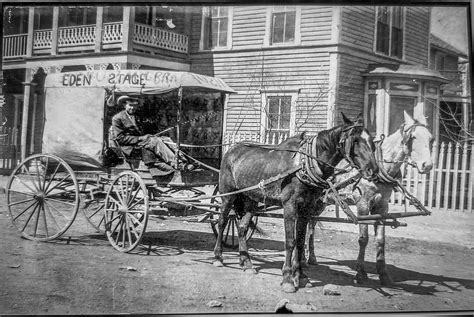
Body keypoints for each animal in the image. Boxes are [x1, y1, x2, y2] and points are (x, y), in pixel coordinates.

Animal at [213, 113, 380, 292]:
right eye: (355, 140)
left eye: (371, 141)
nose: (373, 170)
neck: (304, 164)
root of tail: (231, 150)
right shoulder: (290, 205)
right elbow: (290, 241)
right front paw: (287, 278)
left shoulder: (306, 208)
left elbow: (300, 241)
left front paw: (301, 276)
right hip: (227, 196)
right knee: (222, 222)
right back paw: (218, 257)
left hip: (251, 199)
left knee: (242, 227)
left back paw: (247, 263)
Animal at [304, 111, 434, 284]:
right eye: (412, 137)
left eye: (431, 138)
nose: (427, 165)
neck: (381, 170)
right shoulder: (363, 205)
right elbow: (363, 238)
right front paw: (360, 272)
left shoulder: (382, 207)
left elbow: (380, 240)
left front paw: (384, 274)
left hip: (319, 202)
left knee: (310, 223)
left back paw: (310, 257)